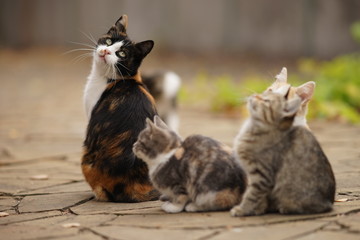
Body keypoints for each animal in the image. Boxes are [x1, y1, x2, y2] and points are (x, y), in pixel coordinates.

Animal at [231, 90, 334, 218]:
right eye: (263, 93)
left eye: (266, 100)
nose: (255, 95)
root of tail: (329, 202)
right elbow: (260, 197)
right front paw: (258, 210)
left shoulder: (262, 174)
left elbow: (252, 195)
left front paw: (243, 209)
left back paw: (285, 208)